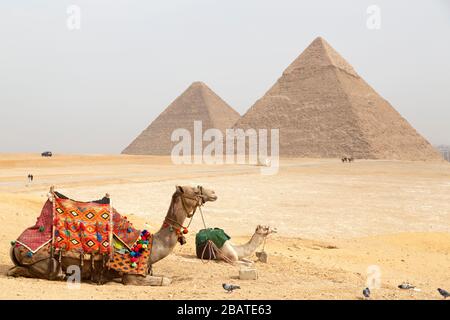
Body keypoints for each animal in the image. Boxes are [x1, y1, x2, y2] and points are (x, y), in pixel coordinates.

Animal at [7, 184, 218, 286]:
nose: (214, 193)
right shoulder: (132, 277)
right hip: (47, 262)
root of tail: (15, 245)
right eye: (194, 190)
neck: (150, 245)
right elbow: (166, 280)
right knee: (26, 271)